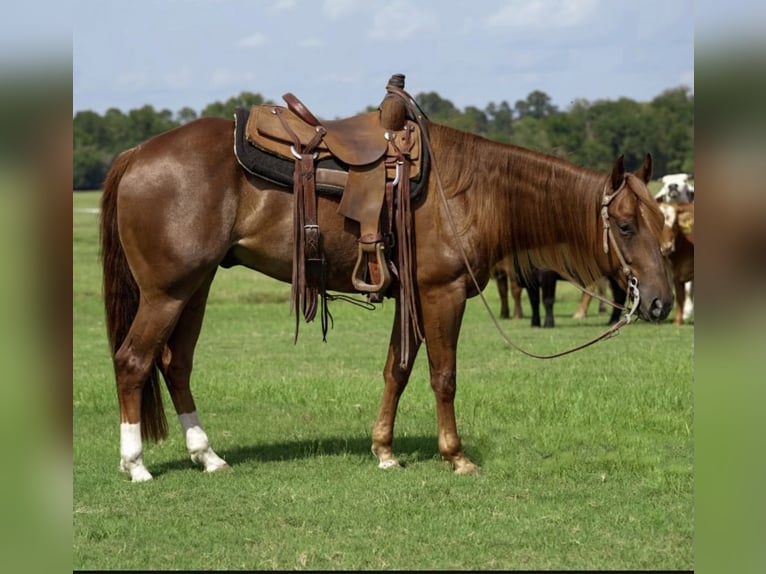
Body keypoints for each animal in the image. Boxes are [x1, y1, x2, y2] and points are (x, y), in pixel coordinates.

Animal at [100, 93, 672, 482]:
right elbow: (444, 376)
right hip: (167, 293)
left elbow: (396, 370)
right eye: (626, 226)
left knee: (175, 364)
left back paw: (208, 456)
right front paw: (456, 455)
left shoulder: (413, 297)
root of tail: (136, 153)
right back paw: (135, 464)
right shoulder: (443, 294)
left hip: (195, 288)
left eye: (662, 220)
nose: (661, 302)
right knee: (133, 360)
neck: (470, 189)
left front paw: (385, 451)